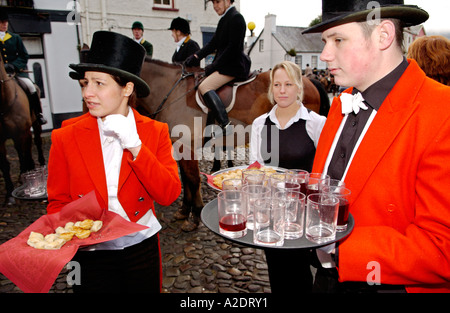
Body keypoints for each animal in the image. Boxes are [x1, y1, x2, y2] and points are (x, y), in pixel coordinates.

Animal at [0, 54, 44, 204]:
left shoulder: (24, 132)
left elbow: (27, 155)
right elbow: (5, 165)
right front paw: (9, 195)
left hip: (35, 124)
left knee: (36, 143)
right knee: (20, 152)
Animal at [137, 58, 326, 229]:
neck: (172, 92)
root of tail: (310, 81)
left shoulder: (187, 146)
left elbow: (193, 179)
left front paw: (195, 216)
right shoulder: (179, 147)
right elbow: (185, 178)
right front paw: (184, 211)